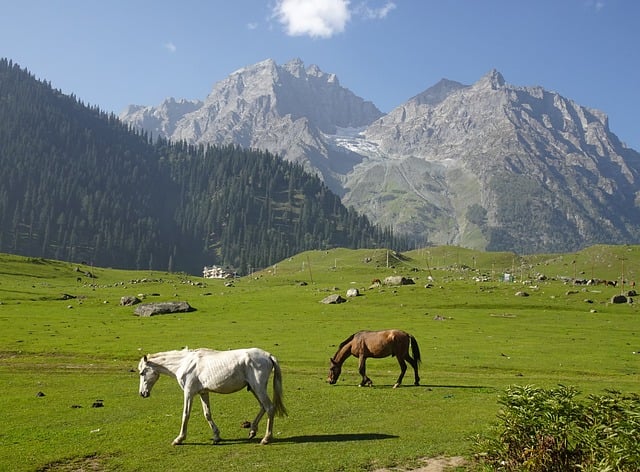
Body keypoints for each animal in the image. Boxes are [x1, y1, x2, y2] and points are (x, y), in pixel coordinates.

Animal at [141, 348, 290, 444]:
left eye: (142, 372)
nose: (142, 393)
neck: (184, 363)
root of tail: (268, 355)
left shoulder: (188, 393)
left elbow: (186, 414)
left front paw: (179, 439)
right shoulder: (203, 392)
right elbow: (207, 414)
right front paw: (217, 436)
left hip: (258, 388)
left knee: (269, 408)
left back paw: (266, 438)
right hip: (254, 388)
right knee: (263, 407)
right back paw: (252, 431)